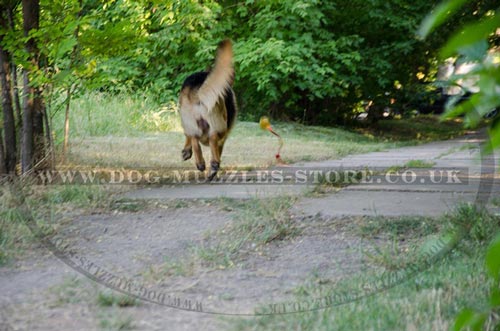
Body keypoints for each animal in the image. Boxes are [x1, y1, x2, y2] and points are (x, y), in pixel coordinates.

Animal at [178, 39, 236, 182]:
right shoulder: (223, 137)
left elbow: (188, 136)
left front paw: (186, 151)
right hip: (220, 124)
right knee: (212, 137)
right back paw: (213, 166)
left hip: (189, 118)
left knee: (195, 138)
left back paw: (200, 163)